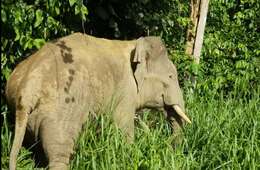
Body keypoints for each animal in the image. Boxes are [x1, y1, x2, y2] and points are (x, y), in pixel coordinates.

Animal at [5, 32, 190, 169]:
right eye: (171, 77)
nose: (173, 153)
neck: (132, 45)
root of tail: (26, 90)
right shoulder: (125, 91)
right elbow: (124, 128)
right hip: (60, 112)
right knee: (59, 152)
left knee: (34, 150)